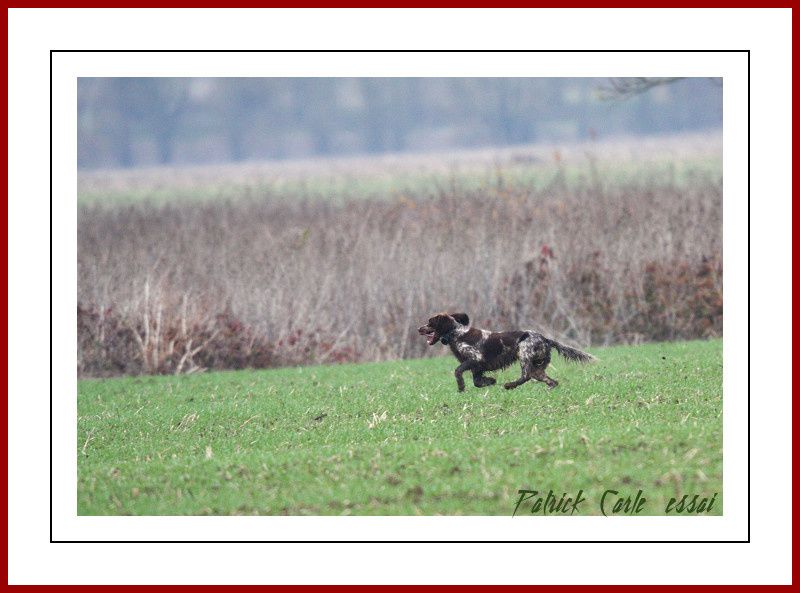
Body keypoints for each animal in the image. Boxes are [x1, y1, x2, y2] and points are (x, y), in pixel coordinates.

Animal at [418, 312, 592, 390]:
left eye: (430, 322)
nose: (419, 328)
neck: (457, 333)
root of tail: (546, 339)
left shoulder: (475, 358)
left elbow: (458, 371)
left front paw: (461, 387)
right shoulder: (477, 367)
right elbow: (477, 381)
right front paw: (490, 381)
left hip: (523, 353)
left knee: (526, 376)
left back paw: (509, 385)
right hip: (538, 367)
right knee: (549, 380)